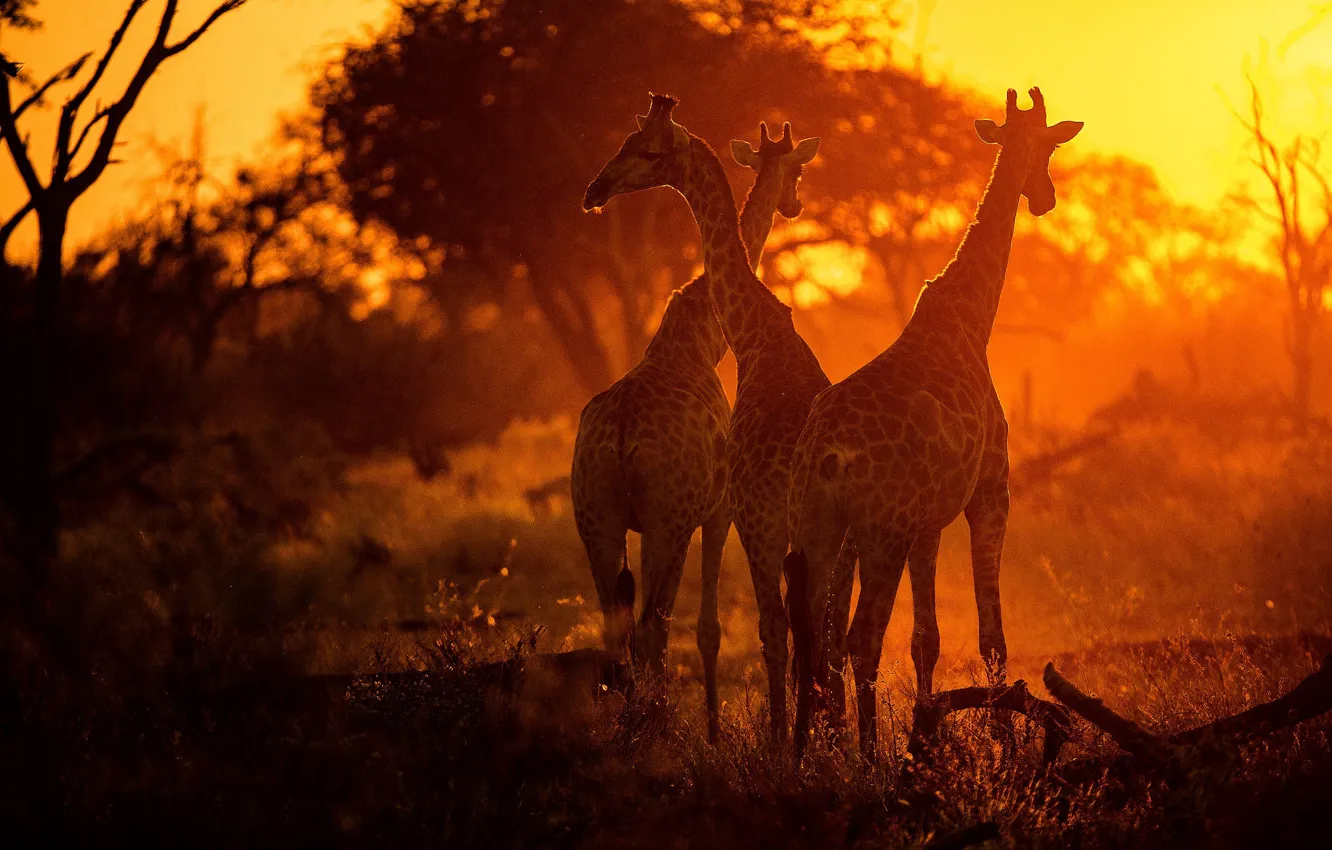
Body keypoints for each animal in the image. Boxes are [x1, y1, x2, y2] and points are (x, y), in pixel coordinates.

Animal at [583, 94, 836, 742]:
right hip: (675, 523)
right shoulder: (723, 511)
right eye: (799, 171)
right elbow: (716, 628)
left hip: (597, 517)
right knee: (662, 627)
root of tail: (619, 438)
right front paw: (722, 732)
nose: (595, 189)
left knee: (622, 629)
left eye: (645, 149)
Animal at [786, 87, 1083, 760]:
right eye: (1049, 145)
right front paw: (1002, 741)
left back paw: (810, 756)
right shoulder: (989, 494)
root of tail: (826, 456)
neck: (973, 318)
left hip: (821, 526)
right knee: (861, 636)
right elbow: (991, 636)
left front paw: (930, 732)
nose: (1045, 197)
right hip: (880, 530)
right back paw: (867, 757)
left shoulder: (927, 524)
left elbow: (927, 639)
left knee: (816, 637)